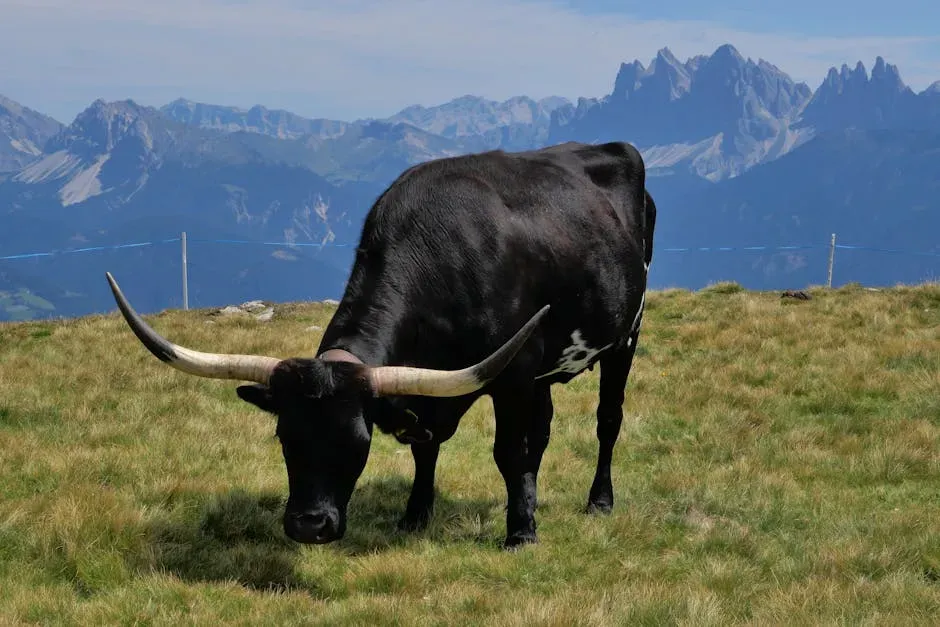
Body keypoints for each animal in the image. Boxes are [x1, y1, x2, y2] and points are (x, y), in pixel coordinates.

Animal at [105, 140, 656, 550]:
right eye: (284, 437)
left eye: (359, 443)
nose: (309, 525)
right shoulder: (435, 393)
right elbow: (427, 447)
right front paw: (415, 514)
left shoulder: (514, 373)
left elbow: (508, 452)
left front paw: (520, 532)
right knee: (541, 433)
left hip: (625, 337)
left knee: (607, 421)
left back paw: (598, 501)